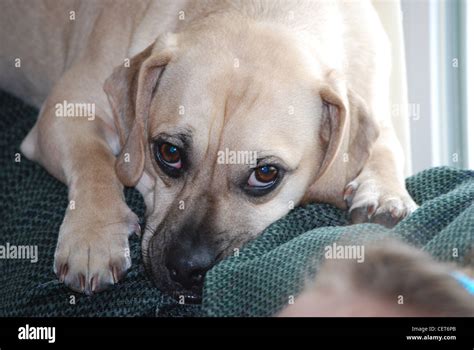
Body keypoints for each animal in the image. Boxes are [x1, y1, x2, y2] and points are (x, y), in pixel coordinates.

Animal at [0, 0, 416, 300]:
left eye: (266, 173)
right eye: (168, 152)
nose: (185, 268)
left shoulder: (375, 107)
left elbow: (384, 143)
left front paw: (384, 193)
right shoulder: (62, 113)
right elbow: (95, 161)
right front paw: (93, 237)